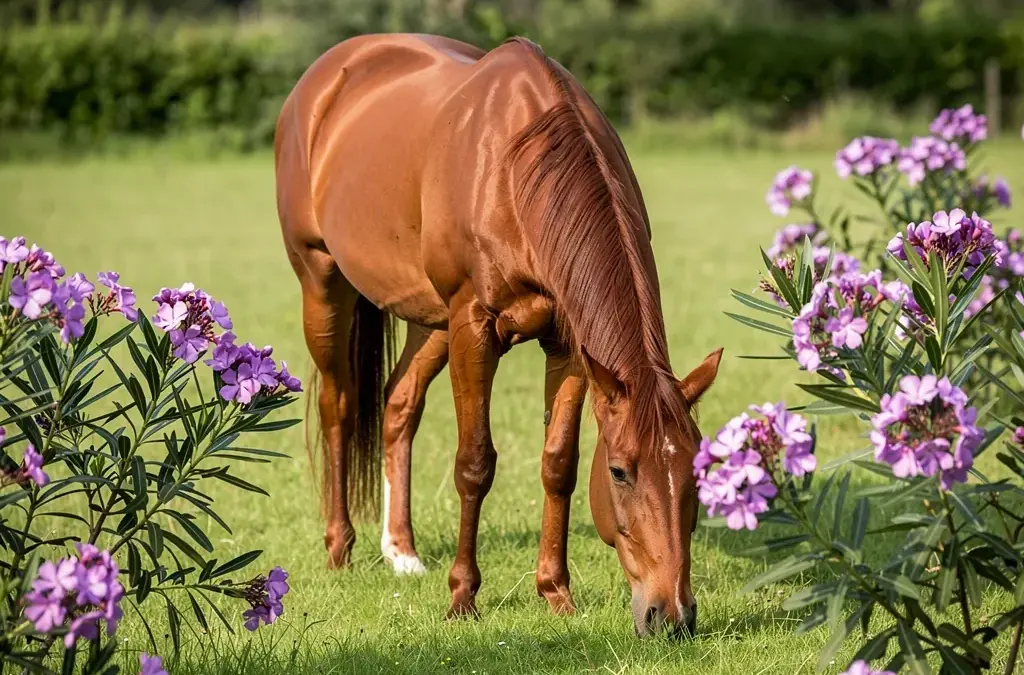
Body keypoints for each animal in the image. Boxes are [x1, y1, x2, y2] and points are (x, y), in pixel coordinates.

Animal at [273, 32, 723, 637]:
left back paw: (401, 552)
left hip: (428, 317)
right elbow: (475, 464)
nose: (671, 616)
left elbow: (558, 464)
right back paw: (340, 548)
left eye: (698, 471)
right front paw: (463, 597)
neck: (514, 168)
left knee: (398, 403)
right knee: (338, 404)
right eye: (620, 472)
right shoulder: (473, 325)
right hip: (323, 281)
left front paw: (556, 592)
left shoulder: (568, 343)